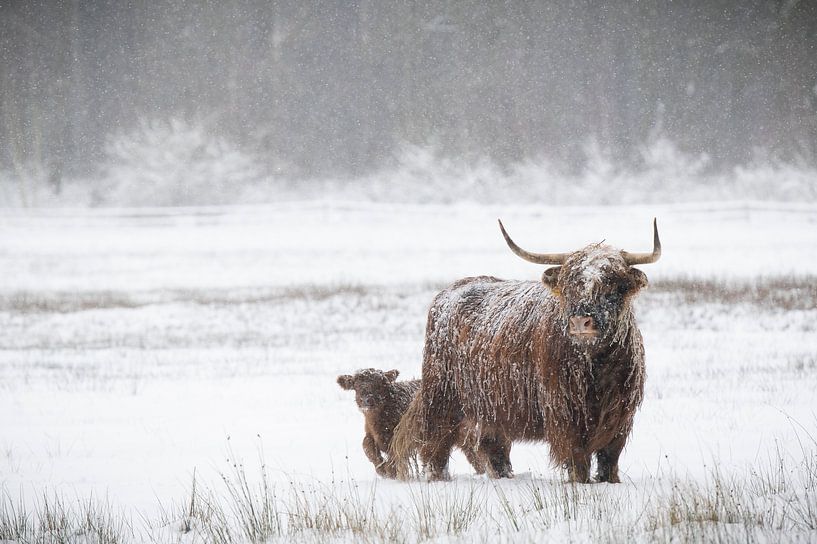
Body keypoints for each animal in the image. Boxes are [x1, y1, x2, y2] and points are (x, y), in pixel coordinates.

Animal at [336, 368, 484, 478]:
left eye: (380, 384)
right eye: (356, 386)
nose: (368, 399)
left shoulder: (398, 436)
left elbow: (393, 456)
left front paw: (390, 472)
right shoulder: (370, 434)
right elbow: (367, 446)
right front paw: (381, 469)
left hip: (462, 431)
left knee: (473, 450)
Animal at [392, 219, 660, 482]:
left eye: (613, 285)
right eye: (568, 286)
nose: (580, 322)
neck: (596, 366)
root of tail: (449, 291)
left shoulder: (620, 416)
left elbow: (609, 458)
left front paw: (609, 481)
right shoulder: (564, 415)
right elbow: (577, 459)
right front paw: (579, 482)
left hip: (491, 406)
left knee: (492, 445)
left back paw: (504, 475)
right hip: (441, 395)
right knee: (435, 442)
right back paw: (438, 477)